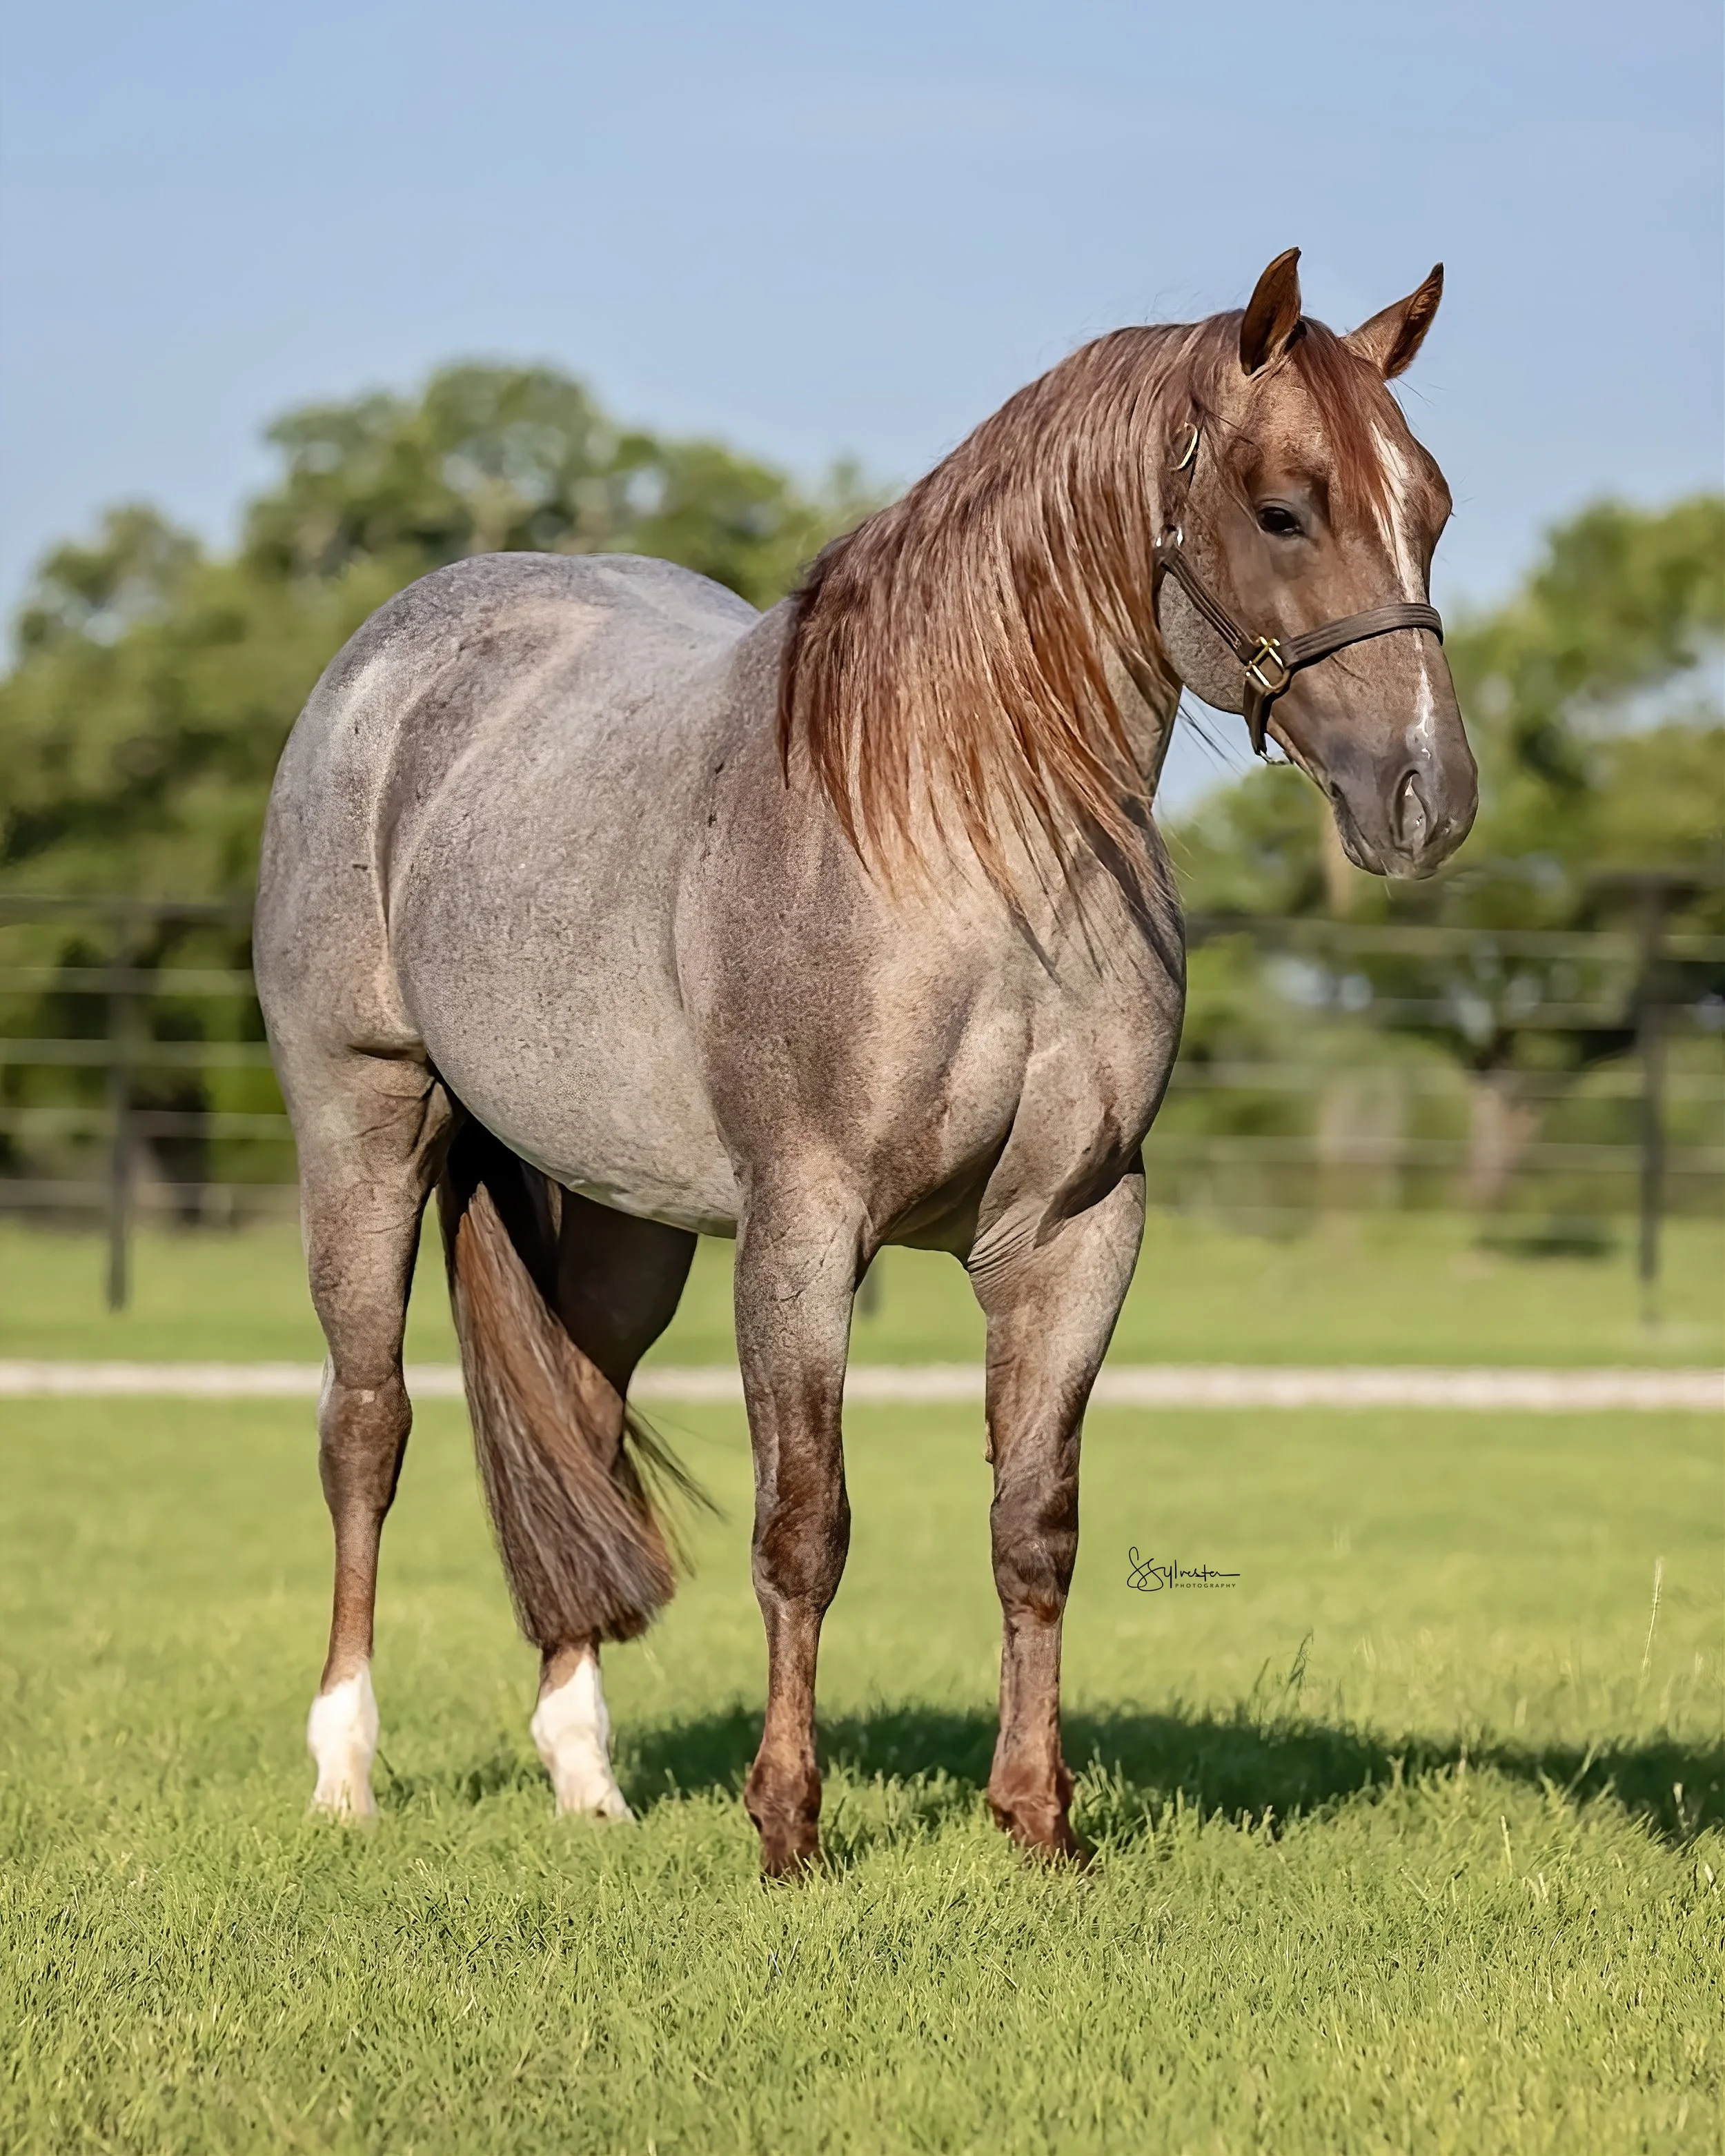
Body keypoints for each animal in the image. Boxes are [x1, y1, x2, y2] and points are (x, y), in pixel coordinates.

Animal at [256, 247, 1475, 1874]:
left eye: (1433, 505)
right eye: (1285, 508)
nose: (1427, 796)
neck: (967, 840)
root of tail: (382, 669)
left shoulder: (1074, 1228)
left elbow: (1034, 1524)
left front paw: (1037, 1821)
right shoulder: (805, 1228)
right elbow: (804, 1525)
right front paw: (788, 1826)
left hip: (622, 1217)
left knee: (579, 1420)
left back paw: (588, 1776)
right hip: (364, 1123)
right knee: (366, 1425)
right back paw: (345, 1770)